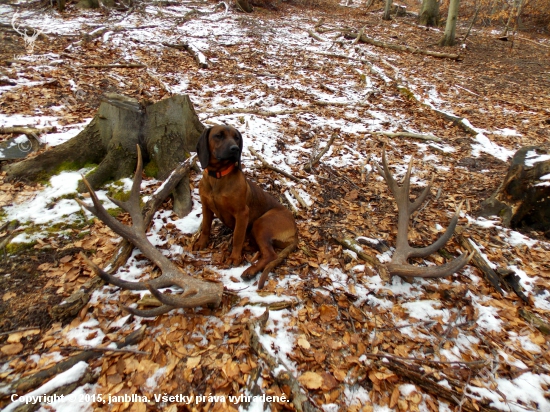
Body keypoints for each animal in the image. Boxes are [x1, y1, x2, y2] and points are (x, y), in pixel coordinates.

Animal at [193, 124, 300, 288]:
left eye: (236, 137)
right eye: (219, 135)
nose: (235, 149)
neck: (218, 177)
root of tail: (295, 231)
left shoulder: (242, 213)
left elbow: (237, 236)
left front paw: (234, 258)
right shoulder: (206, 207)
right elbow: (205, 227)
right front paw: (201, 243)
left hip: (261, 223)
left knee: (270, 254)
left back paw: (251, 270)